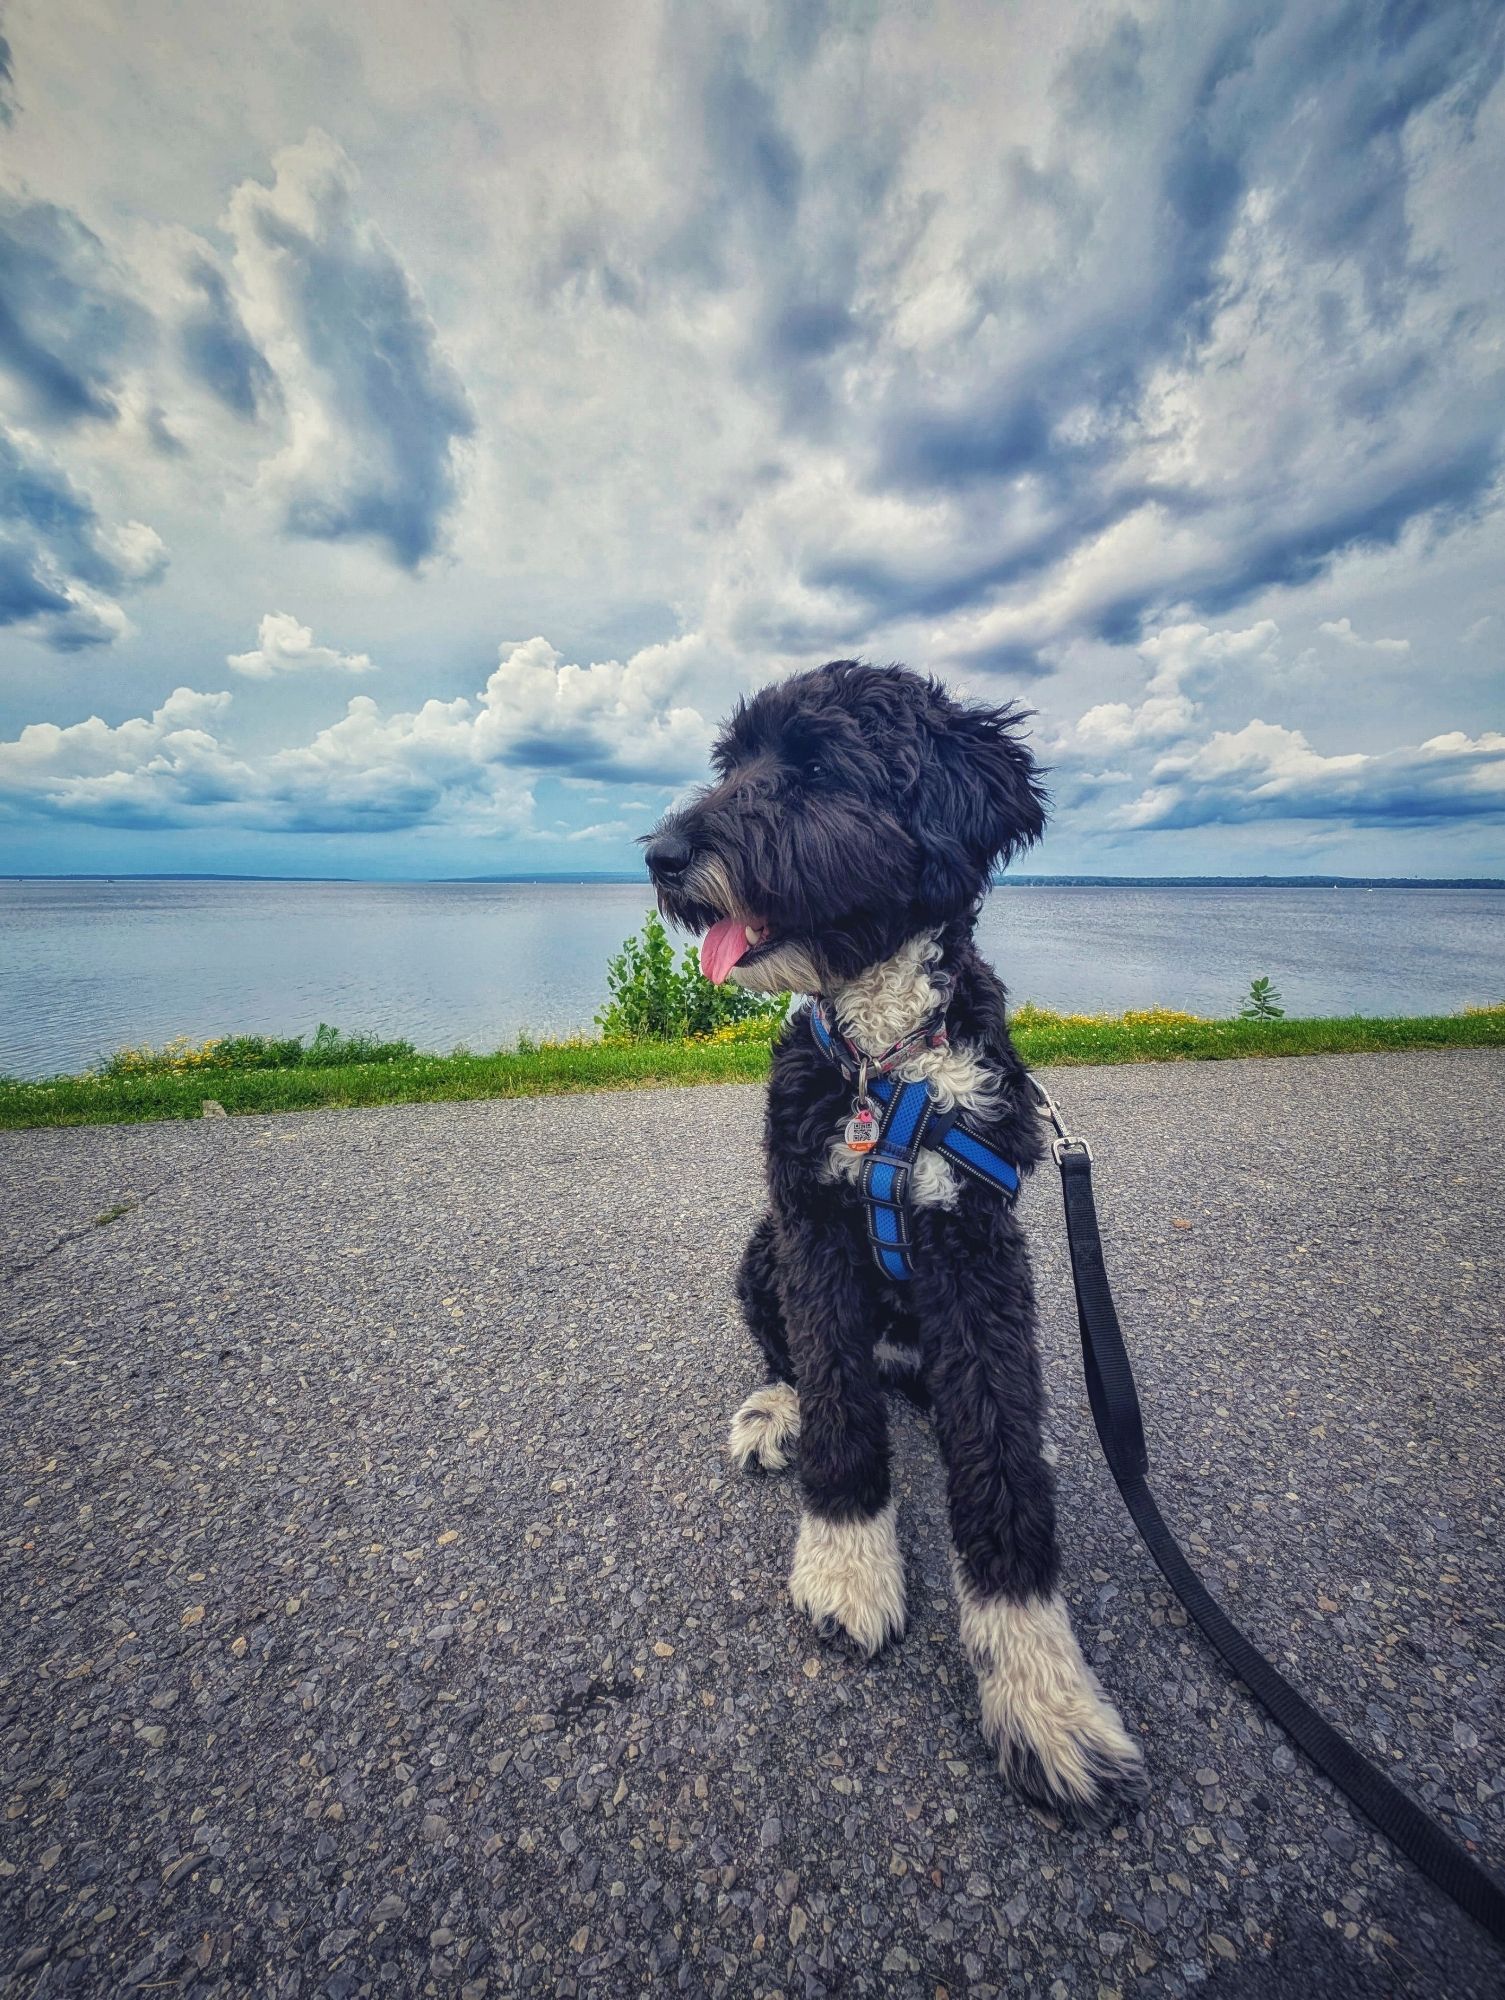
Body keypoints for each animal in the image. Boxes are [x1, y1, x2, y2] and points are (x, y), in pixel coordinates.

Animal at [640, 660, 1144, 1832]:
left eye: (814, 766)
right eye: (733, 760)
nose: (662, 855)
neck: (885, 1063)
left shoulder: (979, 1246)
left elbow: (996, 1455)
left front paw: (1041, 1690)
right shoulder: (811, 1231)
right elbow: (836, 1400)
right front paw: (846, 1565)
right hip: (759, 1248)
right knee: (798, 1360)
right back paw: (774, 1410)